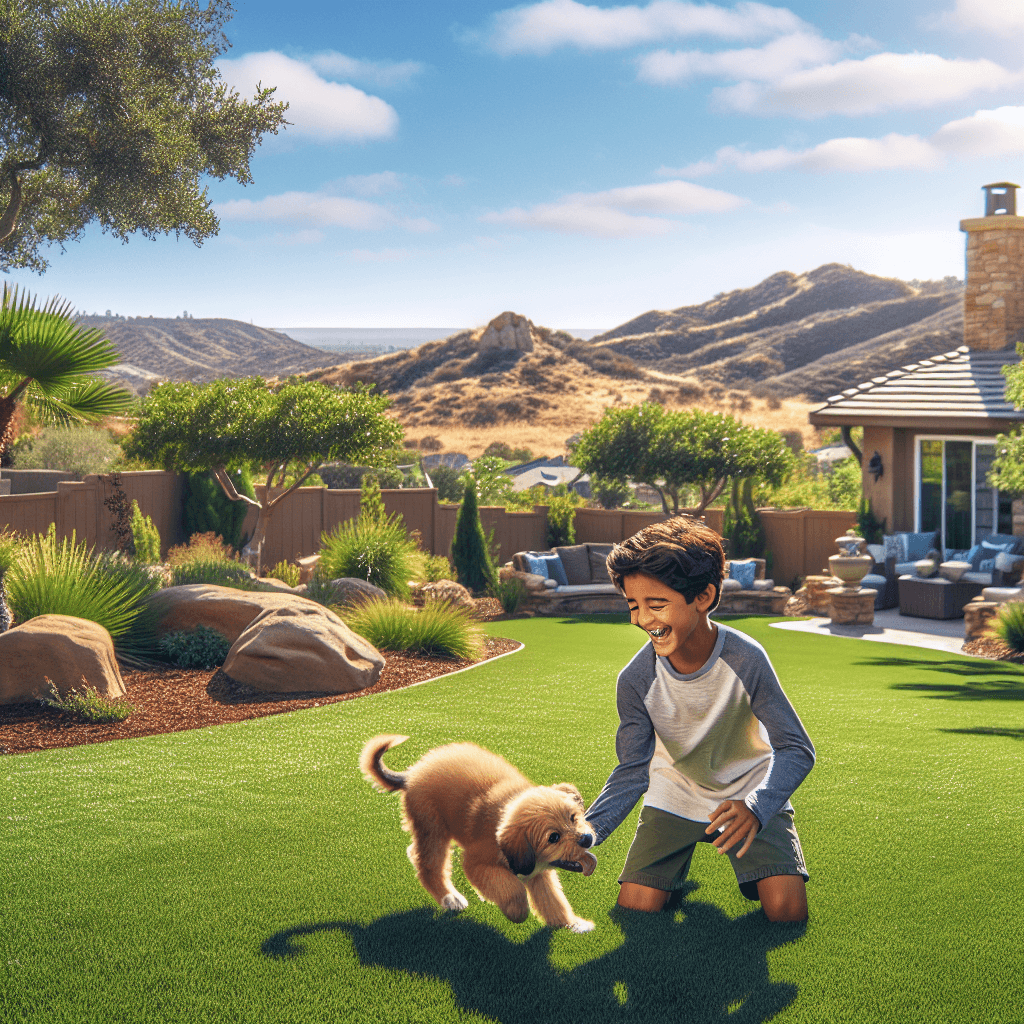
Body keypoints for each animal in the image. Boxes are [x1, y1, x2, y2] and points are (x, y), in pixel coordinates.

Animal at [360, 733, 598, 933]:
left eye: (573, 817)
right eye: (553, 837)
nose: (587, 839)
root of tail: (412, 773)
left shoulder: (539, 875)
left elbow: (554, 901)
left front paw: (572, 924)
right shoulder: (476, 864)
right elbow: (513, 888)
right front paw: (516, 911)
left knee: (415, 852)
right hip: (433, 828)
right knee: (428, 866)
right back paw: (449, 898)